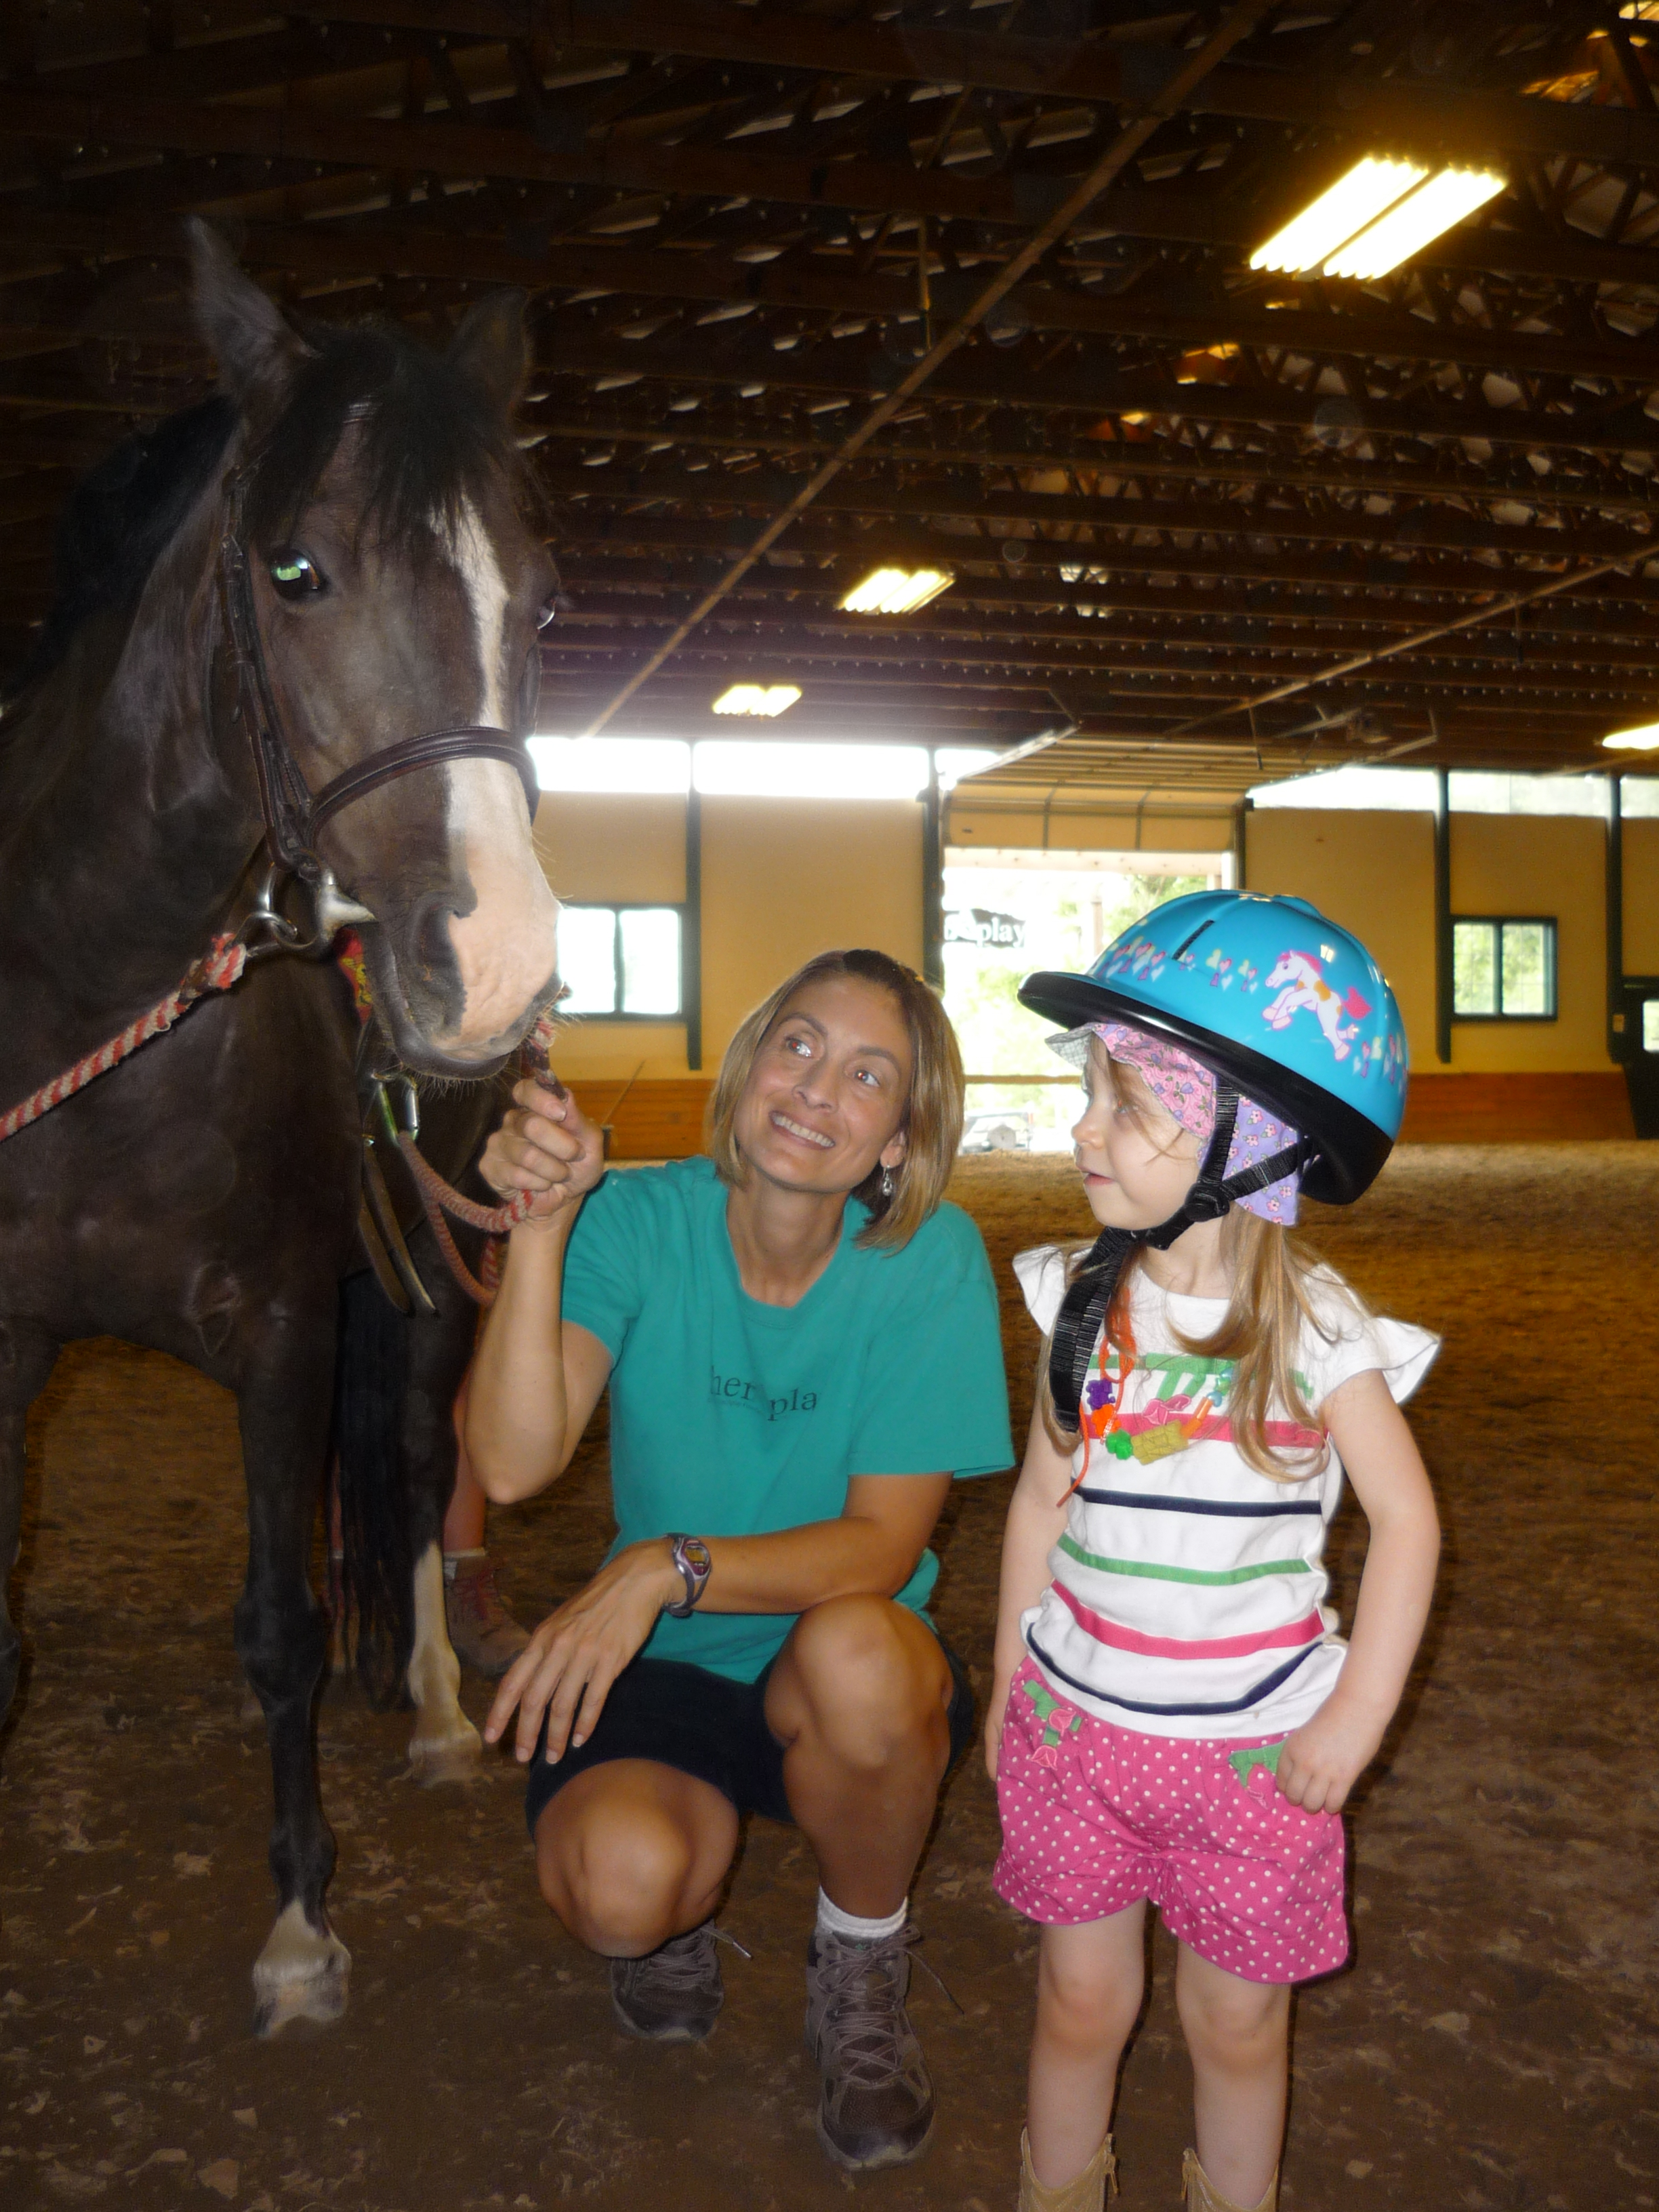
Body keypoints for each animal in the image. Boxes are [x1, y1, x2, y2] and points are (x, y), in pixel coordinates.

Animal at [0, 224, 562, 2035]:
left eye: (538, 601)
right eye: (297, 572)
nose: (496, 966)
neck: (93, 994)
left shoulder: (279, 1324)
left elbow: (281, 1631)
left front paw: (303, 1923)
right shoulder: (11, 1340)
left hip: (425, 1272)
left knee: (414, 1462)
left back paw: (436, 1703)